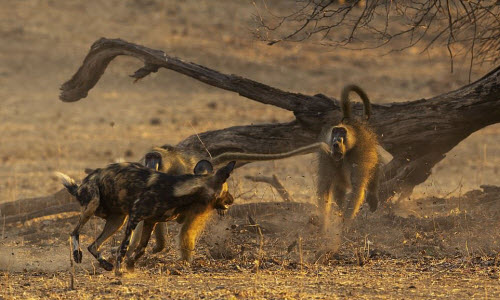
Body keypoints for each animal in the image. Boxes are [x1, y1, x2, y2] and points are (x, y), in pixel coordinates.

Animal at [56, 161, 234, 274]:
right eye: (226, 191)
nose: (232, 200)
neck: (177, 190)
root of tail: (82, 183)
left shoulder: (150, 221)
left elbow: (142, 249)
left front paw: (130, 265)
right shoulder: (134, 218)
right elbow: (124, 247)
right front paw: (120, 271)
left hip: (117, 221)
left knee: (93, 246)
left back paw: (106, 264)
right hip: (93, 204)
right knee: (74, 232)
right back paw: (77, 254)